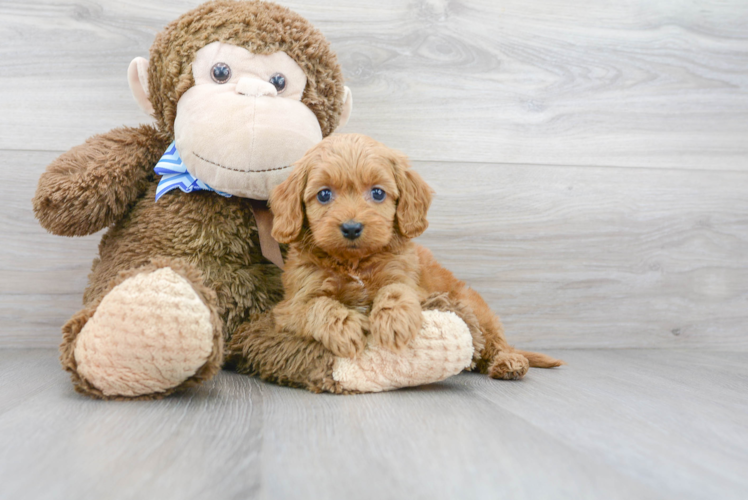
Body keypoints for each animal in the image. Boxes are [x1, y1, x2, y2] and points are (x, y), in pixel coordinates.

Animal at [268, 133, 560, 378]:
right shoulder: (290, 306)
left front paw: (393, 322)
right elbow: (318, 304)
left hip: (476, 308)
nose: (351, 228)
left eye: (377, 193)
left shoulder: (409, 279)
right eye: (324, 194)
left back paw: (509, 362)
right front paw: (344, 328)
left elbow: (396, 290)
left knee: (496, 342)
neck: (355, 263)